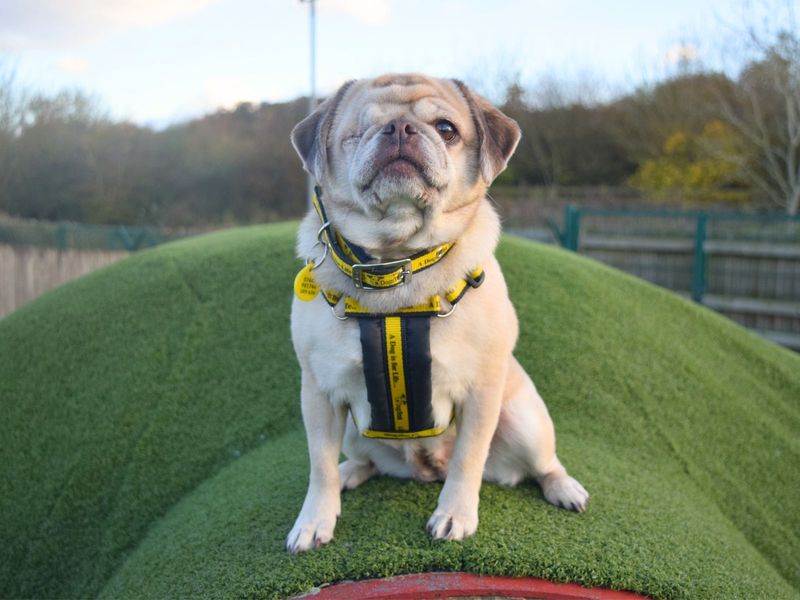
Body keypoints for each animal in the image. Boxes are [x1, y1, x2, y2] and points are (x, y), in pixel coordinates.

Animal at [288, 74, 588, 552]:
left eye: (446, 129)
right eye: (357, 133)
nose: (398, 128)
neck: (394, 265)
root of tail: (427, 469)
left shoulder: (481, 393)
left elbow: (468, 458)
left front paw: (455, 515)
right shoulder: (319, 393)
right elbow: (319, 465)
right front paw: (315, 519)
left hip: (525, 420)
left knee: (542, 464)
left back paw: (563, 488)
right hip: (354, 428)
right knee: (358, 460)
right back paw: (350, 471)